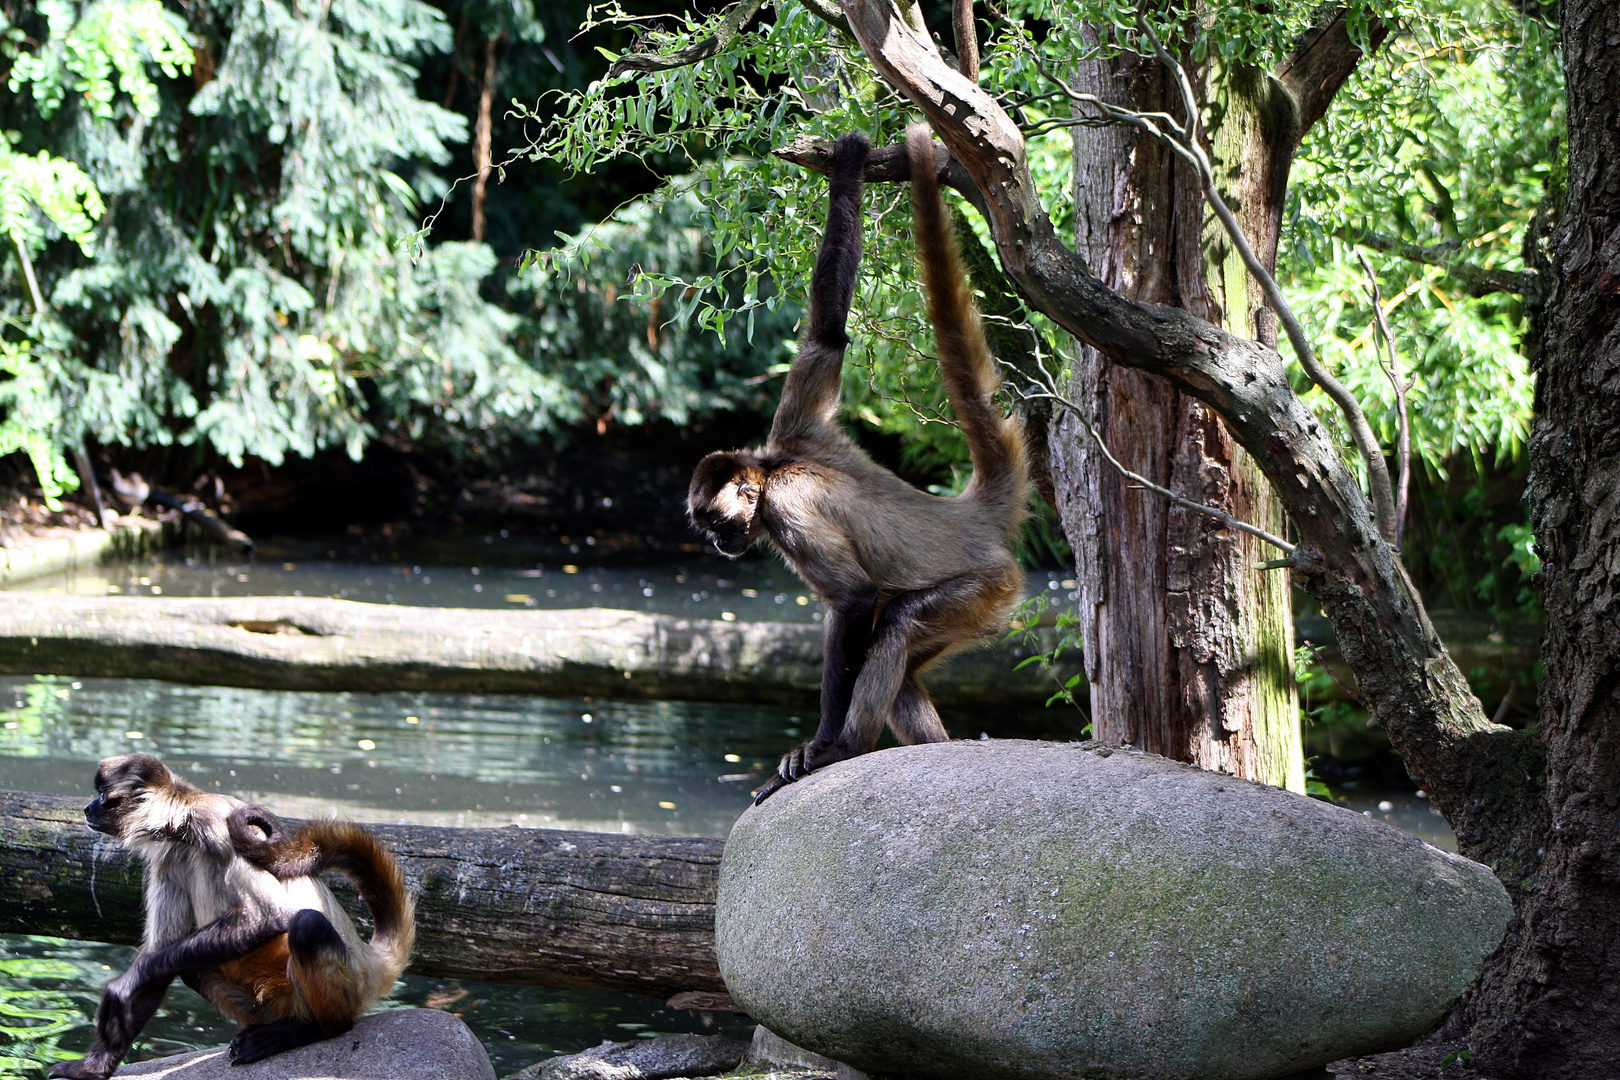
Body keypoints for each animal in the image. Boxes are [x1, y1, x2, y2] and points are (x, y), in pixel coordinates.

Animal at [686, 127, 1023, 803]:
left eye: (714, 524)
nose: (715, 546)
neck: (775, 467)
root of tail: (969, 516)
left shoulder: (788, 507)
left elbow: (853, 600)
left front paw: (822, 746)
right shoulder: (797, 427)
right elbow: (826, 332)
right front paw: (848, 164)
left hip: (984, 589)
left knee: (892, 620)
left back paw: (843, 747)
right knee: (902, 661)